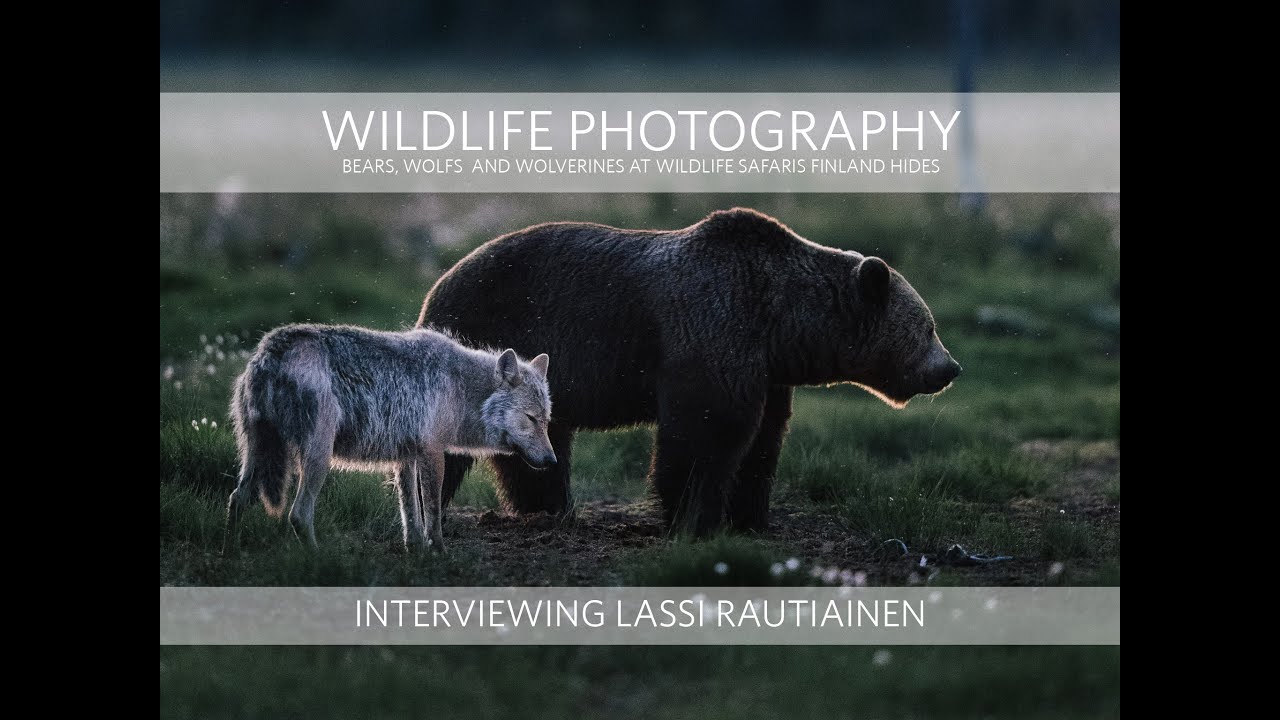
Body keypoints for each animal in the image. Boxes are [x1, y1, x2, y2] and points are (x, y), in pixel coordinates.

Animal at [418, 207, 960, 535]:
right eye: (929, 326)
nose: (950, 367)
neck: (781, 320)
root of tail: (437, 283)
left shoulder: (767, 371)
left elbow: (763, 440)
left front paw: (750, 515)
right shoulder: (712, 328)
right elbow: (707, 431)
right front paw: (695, 516)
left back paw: (548, 507)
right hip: (488, 327)